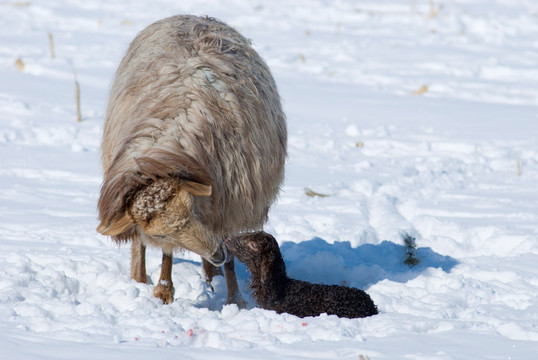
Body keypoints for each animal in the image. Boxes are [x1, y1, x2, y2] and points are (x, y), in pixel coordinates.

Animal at [98, 15, 286, 306]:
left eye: (193, 208)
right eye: (161, 233)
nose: (215, 253)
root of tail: (192, 15)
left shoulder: (228, 202)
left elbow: (229, 256)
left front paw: (234, 299)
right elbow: (163, 251)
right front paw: (163, 291)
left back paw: (213, 278)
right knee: (139, 243)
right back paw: (140, 279)